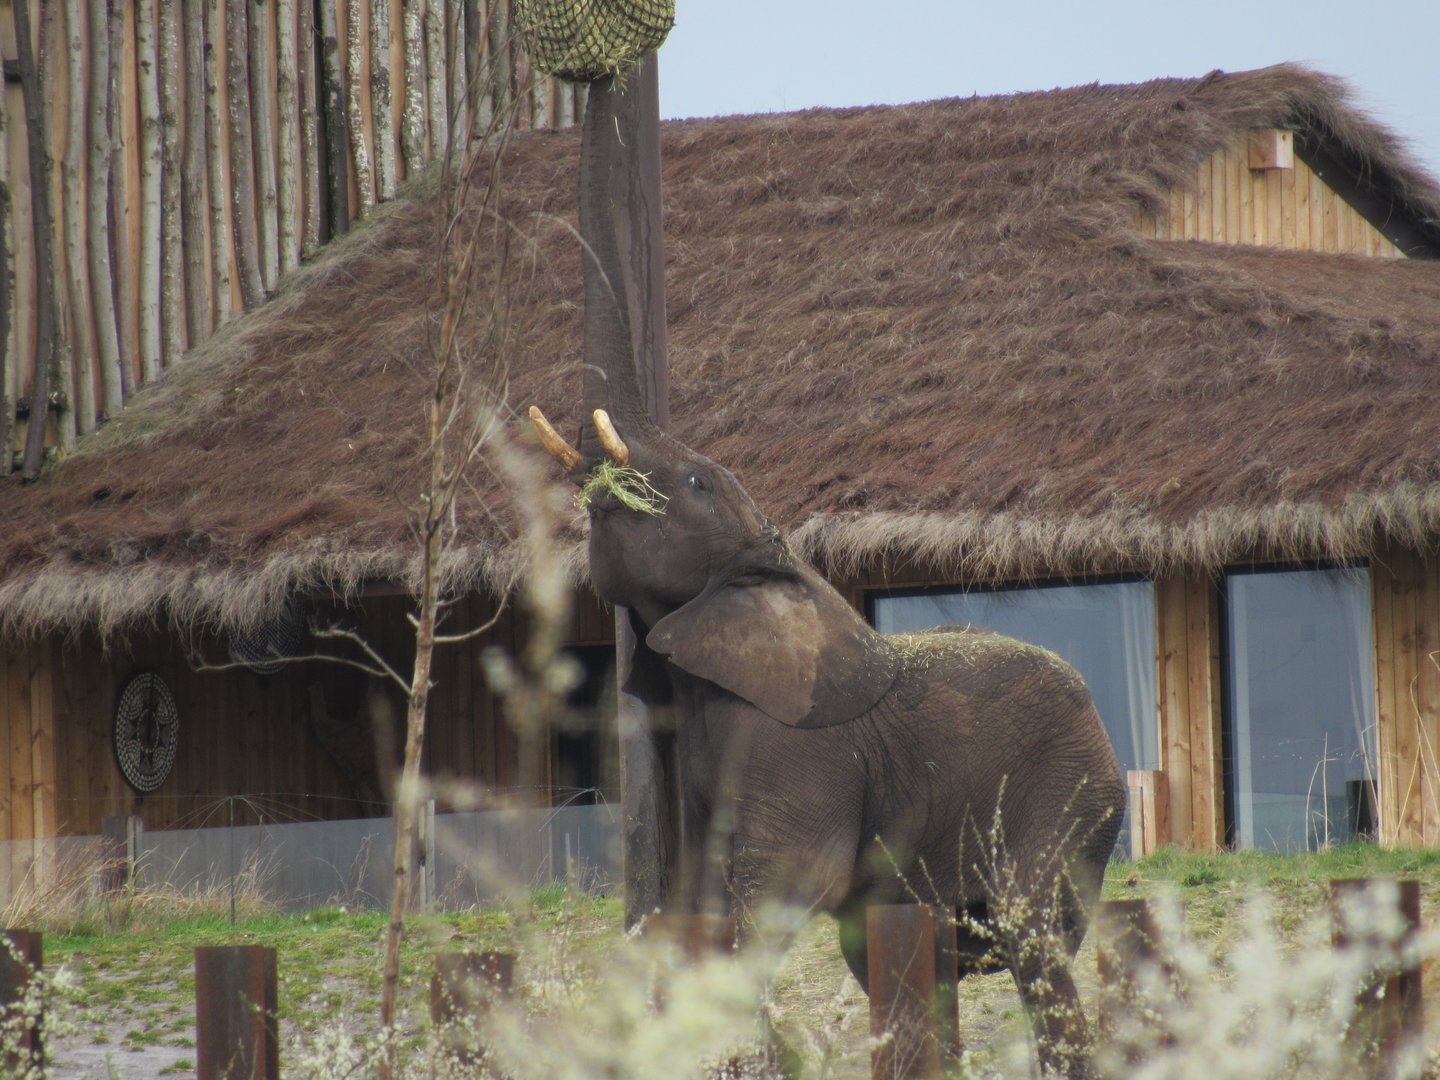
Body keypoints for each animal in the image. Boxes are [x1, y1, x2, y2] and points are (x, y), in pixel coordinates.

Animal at [528, 73, 1125, 1076]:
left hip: (1067, 792)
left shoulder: (798, 747)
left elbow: (773, 894)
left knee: (1033, 939)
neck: (777, 562)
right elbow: (698, 904)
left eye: (697, 482)